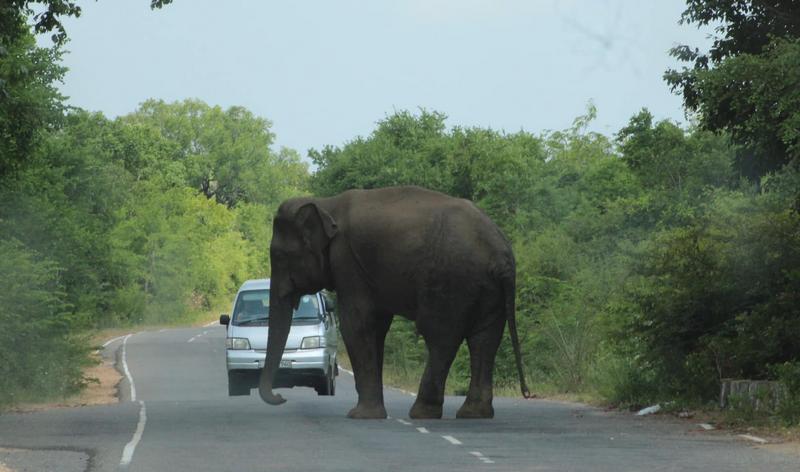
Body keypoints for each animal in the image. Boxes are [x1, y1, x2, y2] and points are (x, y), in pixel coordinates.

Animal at [258, 186, 532, 418]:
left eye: (280, 256)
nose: (281, 397)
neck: (327, 203)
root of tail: (502, 254)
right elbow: (377, 327)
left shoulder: (347, 262)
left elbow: (357, 324)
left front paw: (361, 416)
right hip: (489, 289)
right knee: (484, 339)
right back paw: (473, 413)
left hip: (451, 280)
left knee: (441, 336)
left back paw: (423, 413)